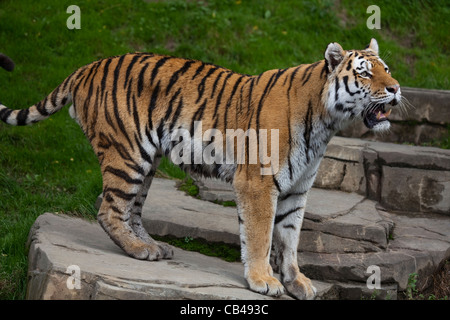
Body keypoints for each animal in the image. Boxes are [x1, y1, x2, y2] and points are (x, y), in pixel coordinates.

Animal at [0, 38, 400, 298]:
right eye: (365, 74)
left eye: (387, 70)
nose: (396, 89)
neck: (326, 122)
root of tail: (89, 66)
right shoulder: (258, 182)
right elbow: (259, 236)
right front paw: (263, 280)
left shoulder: (298, 189)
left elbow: (289, 239)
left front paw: (296, 282)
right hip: (127, 153)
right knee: (108, 208)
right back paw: (138, 250)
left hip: (147, 161)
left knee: (131, 210)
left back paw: (153, 247)